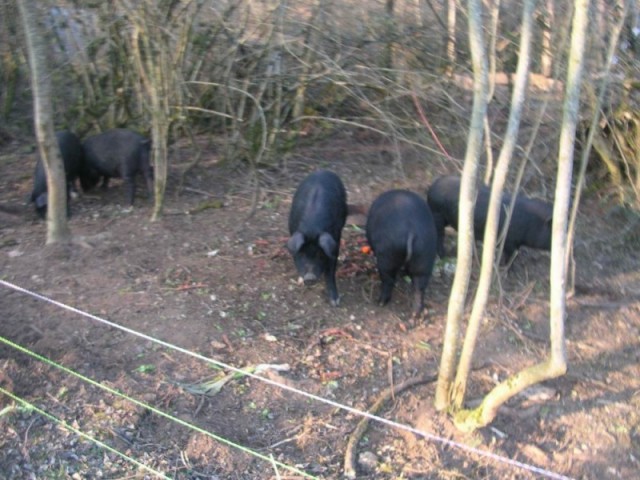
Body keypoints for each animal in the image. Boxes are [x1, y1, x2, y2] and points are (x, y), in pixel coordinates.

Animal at [288, 171, 348, 306]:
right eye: (302, 254)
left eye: (320, 255)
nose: (310, 277)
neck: (312, 228)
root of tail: (322, 171)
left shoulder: (334, 244)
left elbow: (330, 271)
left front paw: (335, 302)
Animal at [364, 189, 440, 320]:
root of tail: (411, 231)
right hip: (425, 254)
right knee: (419, 287)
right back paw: (415, 313)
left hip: (387, 254)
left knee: (388, 280)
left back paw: (380, 302)